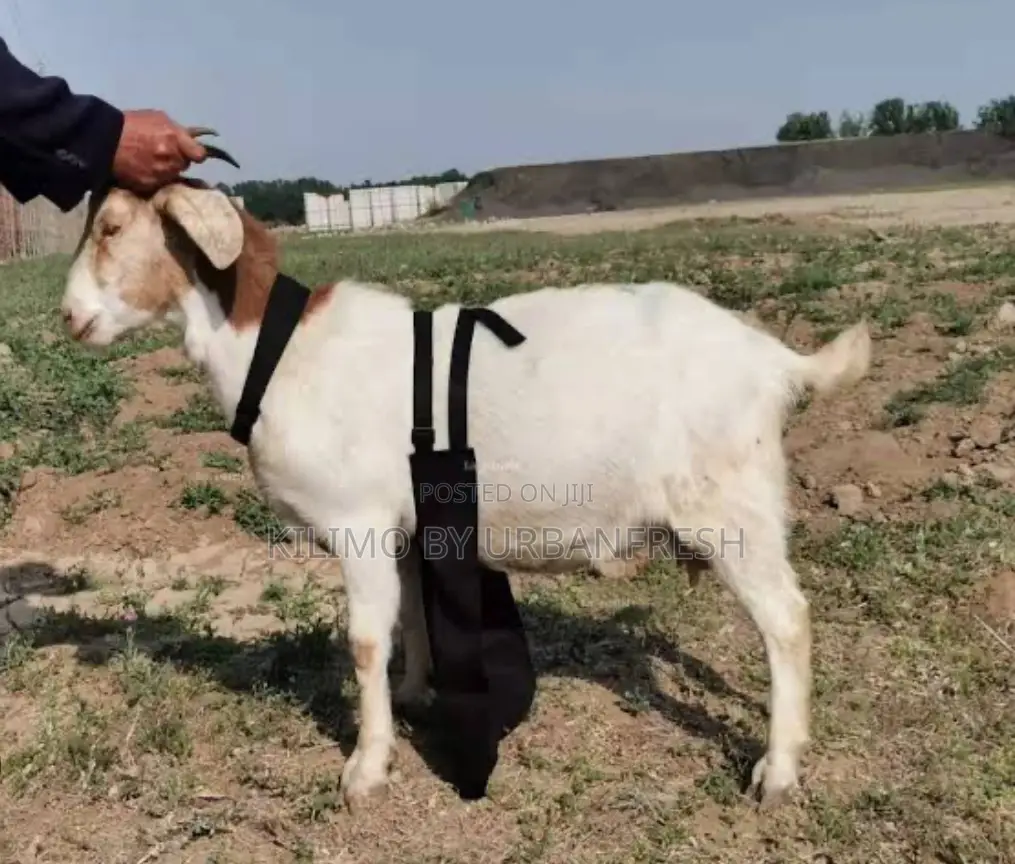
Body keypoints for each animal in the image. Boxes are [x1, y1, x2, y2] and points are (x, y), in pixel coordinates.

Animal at [59, 177, 872, 811]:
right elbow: (411, 618)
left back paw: (777, 772)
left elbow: (363, 641)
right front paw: (415, 693)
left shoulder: (357, 523)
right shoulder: (406, 526)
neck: (279, 349)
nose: (68, 318)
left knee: (786, 621)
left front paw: (365, 769)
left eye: (112, 228)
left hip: (731, 510)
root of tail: (773, 360)